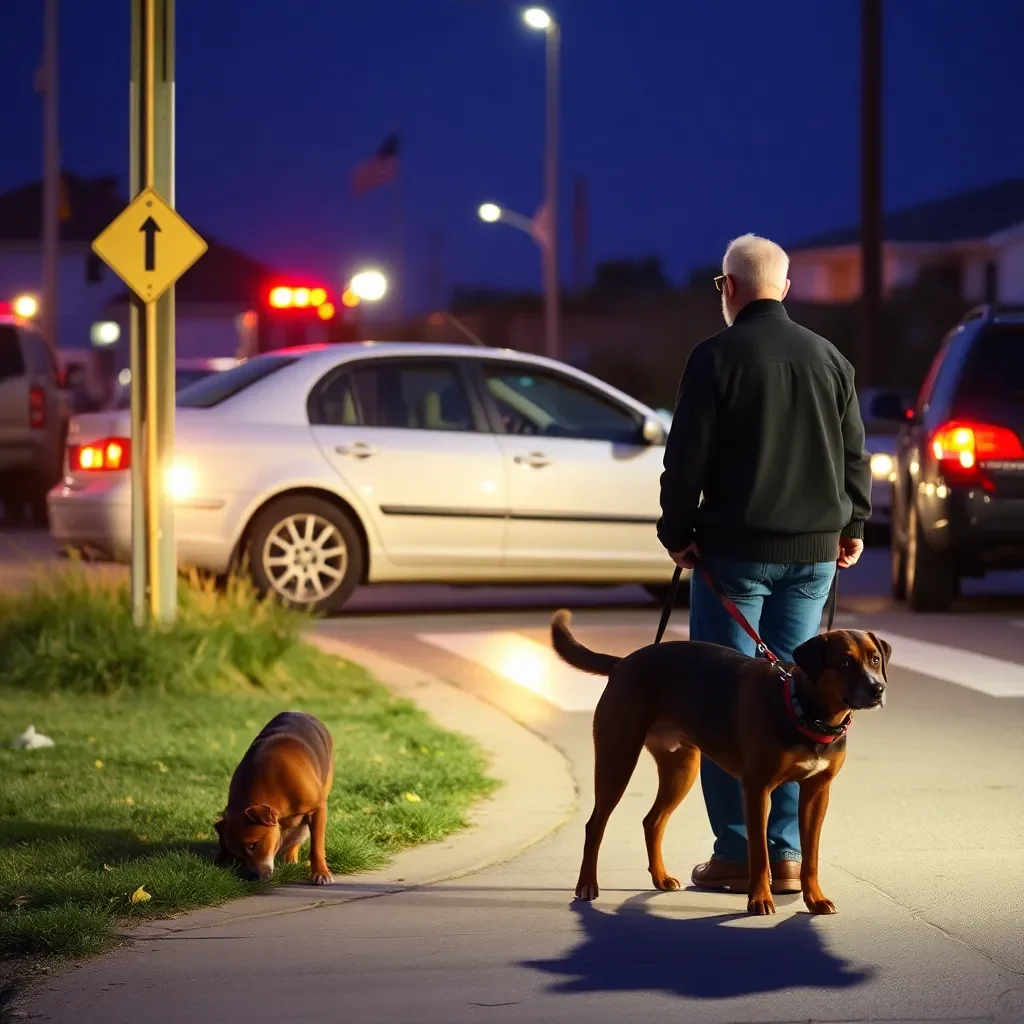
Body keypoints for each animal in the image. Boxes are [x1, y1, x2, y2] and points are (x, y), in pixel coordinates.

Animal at [215, 708, 335, 884]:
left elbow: (317, 845)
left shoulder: (318, 808)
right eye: (237, 855)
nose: (252, 877)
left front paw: (321, 872)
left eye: (253, 845)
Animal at [552, 610, 888, 917]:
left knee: (653, 821)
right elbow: (759, 853)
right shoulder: (757, 789)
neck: (804, 711)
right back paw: (587, 885)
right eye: (844, 663)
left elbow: (812, 857)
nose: (878, 689)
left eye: (874, 660)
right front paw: (759, 899)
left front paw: (814, 899)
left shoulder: (817, 792)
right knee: (595, 824)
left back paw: (660, 877)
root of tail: (623, 663)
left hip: (681, 769)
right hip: (617, 758)